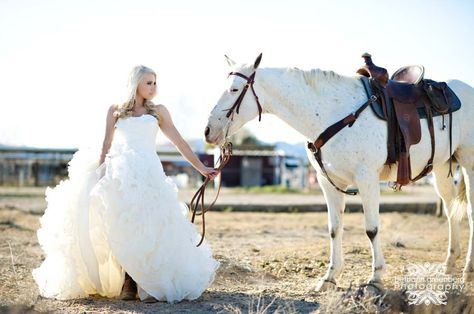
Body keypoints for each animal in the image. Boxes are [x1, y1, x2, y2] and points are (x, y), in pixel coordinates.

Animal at [206, 54, 474, 292]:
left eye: (234, 89)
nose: (208, 131)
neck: (332, 113)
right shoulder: (328, 182)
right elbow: (334, 229)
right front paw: (330, 278)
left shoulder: (367, 179)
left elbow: (371, 229)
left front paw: (376, 278)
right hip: (441, 168)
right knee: (451, 211)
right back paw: (449, 264)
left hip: (469, 165)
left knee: (470, 213)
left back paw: (467, 269)